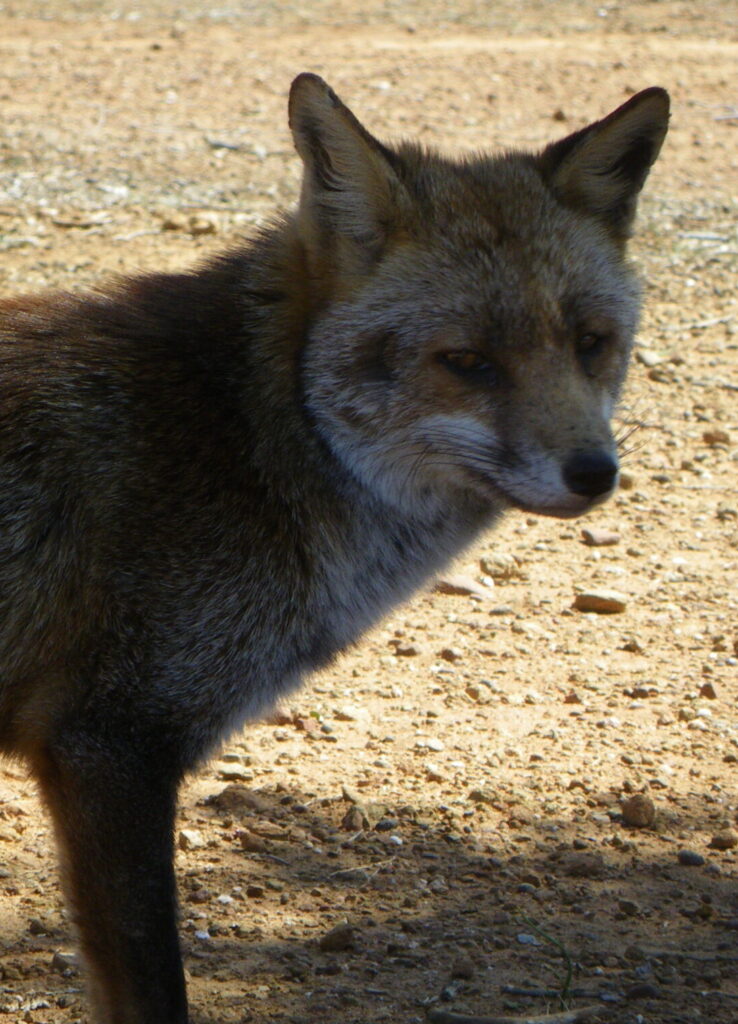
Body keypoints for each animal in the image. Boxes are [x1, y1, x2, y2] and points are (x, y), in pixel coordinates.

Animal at [0, 73, 668, 1022]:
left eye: (590, 343)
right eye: (466, 361)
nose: (594, 474)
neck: (244, 434)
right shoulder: (108, 745)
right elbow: (154, 987)